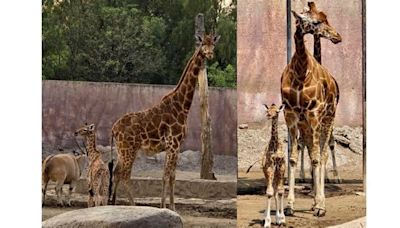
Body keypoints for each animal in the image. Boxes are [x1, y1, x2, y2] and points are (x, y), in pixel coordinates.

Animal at [280, 2, 342, 217]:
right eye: (315, 22)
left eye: (325, 19)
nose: (337, 36)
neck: (300, 71)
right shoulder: (291, 114)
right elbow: (292, 158)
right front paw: (289, 205)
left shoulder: (314, 114)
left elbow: (316, 158)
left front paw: (320, 205)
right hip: (307, 124)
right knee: (310, 150)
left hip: (328, 118)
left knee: (322, 154)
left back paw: (320, 200)